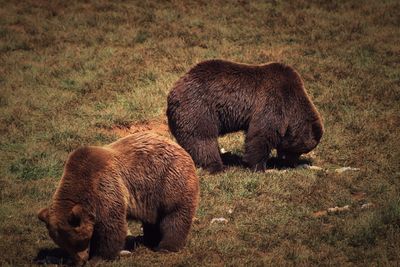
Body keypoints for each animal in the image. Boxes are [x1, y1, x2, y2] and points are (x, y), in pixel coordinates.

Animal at [38, 133, 200, 266]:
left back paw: (166, 247)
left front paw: (99, 257)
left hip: (169, 181)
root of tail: (181, 148)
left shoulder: (105, 188)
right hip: (152, 198)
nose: (80, 261)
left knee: (174, 215)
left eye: (78, 242)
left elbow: (111, 227)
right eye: (63, 244)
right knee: (153, 220)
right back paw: (149, 239)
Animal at [167, 59, 324, 174]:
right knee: (203, 139)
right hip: (199, 108)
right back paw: (218, 166)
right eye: (300, 150)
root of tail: (174, 88)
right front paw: (260, 168)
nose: (290, 163)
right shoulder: (273, 103)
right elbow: (260, 135)